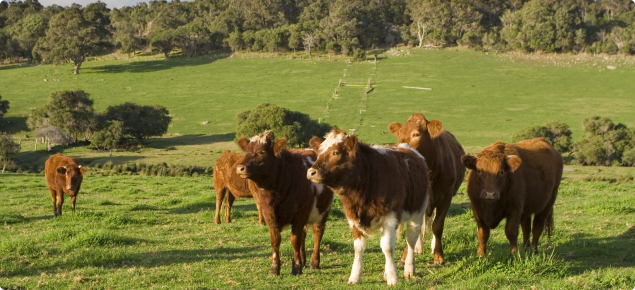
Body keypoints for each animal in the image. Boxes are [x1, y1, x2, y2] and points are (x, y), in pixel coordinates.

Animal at [234, 131, 332, 276]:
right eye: (246, 151)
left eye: (262, 152)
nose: (240, 168)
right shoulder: (269, 214)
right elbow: (275, 240)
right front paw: (274, 267)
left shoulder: (300, 214)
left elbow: (294, 240)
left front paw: (296, 267)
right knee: (304, 235)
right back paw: (303, 260)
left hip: (322, 212)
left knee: (317, 234)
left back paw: (314, 262)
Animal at [306, 129, 430, 286]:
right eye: (319, 152)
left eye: (335, 152)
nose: (311, 172)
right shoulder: (353, 218)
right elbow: (359, 248)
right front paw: (355, 276)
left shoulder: (391, 218)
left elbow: (388, 248)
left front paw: (393, 277)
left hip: (418, 214)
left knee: (411, 241)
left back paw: (409, 269)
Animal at [388, 113, 468, 266]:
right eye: (399, 133)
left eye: (416, 134)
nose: (399, 149)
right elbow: (413, 229)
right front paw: (405, 256)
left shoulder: (446, 197)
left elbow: (437, 226)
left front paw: (438, 256)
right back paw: (418, 248)